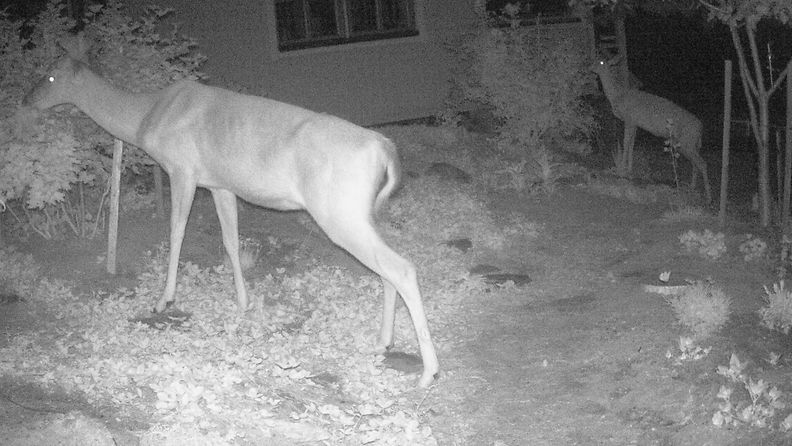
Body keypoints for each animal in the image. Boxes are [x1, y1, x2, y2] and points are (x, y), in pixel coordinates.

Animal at [21, 38, 440, 386]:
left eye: (51, 75)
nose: (27, 101)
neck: (146, 116)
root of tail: (384, 147)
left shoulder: (182, 169)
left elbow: (176, 232)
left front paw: (164, 299)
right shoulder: (220, 184)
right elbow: (231, 240)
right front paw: (243, 302)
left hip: (339, 212)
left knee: (401, 267)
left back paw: (428, 371)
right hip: (360, 212)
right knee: (387, 269)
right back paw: (383, 342)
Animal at [588, 56, 712, 203]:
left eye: (601, 62)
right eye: (595, 59)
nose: (590, 67)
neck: (618, 96)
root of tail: (701, 128)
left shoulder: (629, 119)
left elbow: (626, 142)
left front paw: (622, 170)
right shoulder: (635, 123)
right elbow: (632, 145)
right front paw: (630, 170)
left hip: (688, 140)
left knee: (702, 163)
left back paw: (708, 196)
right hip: (687, 143)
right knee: (695, 163)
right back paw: (692, 188)